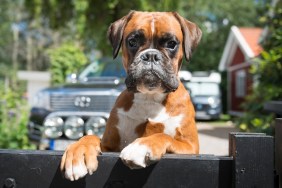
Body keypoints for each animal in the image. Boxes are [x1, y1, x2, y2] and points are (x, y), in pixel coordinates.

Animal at [60, 10, 202, 181]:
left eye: (171, 44)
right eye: (132, 41)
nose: (151, 55)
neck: (149, 97)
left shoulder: (190, 146)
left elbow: (163, 135)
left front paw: (141, 146)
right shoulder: (109, 145)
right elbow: (91, 137)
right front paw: (78, 152)